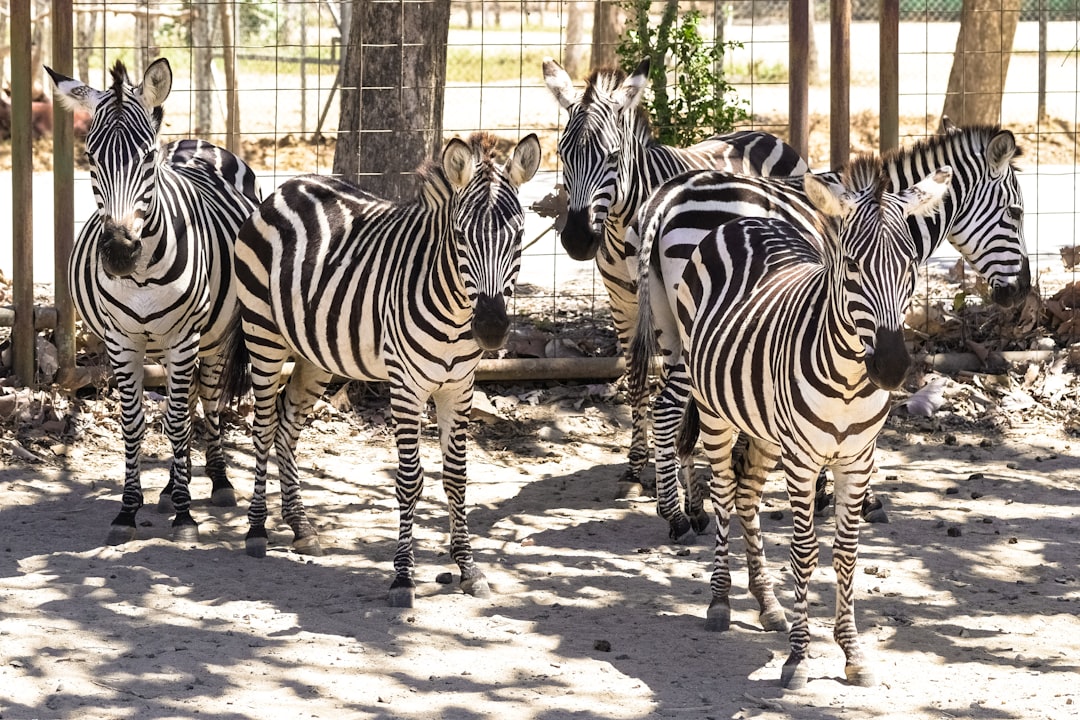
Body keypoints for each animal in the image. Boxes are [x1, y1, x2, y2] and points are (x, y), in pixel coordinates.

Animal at [48, 60, 263, 546]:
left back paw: (217, 482)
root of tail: (196, 143)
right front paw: (129, 509)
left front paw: (185, 515)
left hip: (213, 336)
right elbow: (136, 422)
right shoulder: (121, 339)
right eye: (90, 157)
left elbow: (181, 418)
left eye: (147, 158)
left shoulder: (185, 337)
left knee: (208, 400)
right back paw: (167, 489)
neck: (142, 272)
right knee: (181, 404)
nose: (119, 252)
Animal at [218, 131, 540, 608]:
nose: (491, 327)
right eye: (461, 235)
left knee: (287, 423)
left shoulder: (459, 387)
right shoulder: (406, 387)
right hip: (264, 334)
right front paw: (403, 577)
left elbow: (457, 478)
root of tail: (287, 187)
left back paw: (300, 525)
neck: (456, 313)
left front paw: (468, 569)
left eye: (518, 235)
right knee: (262, 427)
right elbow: (410, 481)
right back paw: (257, 529)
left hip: (316, 353)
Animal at [544, 56, 807, 492]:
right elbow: (635, 377)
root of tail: (764, 134)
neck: (620, 221)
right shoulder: (622, 300)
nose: (578, 241)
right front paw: (637, 464)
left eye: (612, 156)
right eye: (563, 154)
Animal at [630, 124, 1032, 544]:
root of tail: (669, 196)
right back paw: (675, 515)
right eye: (1016, 213)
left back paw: (693, 509)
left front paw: (821, 489)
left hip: (671, 327)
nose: (1022, 290)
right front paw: (859, 498)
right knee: (668, 409)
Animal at [660, 156, 950, 686]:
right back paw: (720, 600)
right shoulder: (803, 460)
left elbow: (846, 553)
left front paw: (852, 652)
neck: (850, 383)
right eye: (853, 265)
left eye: (910, 267)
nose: (892, 368)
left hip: (764, 427)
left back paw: (766, 602)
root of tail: (745, 222)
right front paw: (799, 655)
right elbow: (804, 551)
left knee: (747, 495)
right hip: (714, 411)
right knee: (725, 495)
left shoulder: (857, 459)